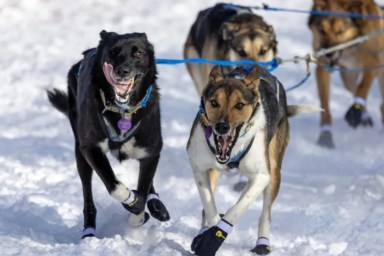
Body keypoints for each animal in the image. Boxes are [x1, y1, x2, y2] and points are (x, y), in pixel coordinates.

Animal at [47, 31, 170, 239]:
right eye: (113, 52)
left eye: (137, 53)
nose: (122, 71)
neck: (123, 111)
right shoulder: (91, 149)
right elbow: (115, 187)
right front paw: (133, 203)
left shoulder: (151, 152)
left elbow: (144, 188)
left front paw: (139, 211)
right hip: (80, 155)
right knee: (88, 196)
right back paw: (88, 232)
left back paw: (155, 204)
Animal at [187, 65, 318, 255]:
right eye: (214, 102)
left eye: (239, 105)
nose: (221, 126)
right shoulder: (199, 166)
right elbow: (209, 207)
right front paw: (209, 231)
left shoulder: (261, 176)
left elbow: (237, 209)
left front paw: (215, 236)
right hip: (215, 170)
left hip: (274, 173)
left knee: (265, 214)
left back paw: (262, 243)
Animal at [308, 0, 384, 148]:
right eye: (322, 30)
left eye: (340, 31)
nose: (329, 53)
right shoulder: (323, 68)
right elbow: (325, 105)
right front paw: (325, 134)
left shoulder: (373, 62)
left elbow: (363, 87)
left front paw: (355, 110)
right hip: (347, 76)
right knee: (353, 88)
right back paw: (365, 117)